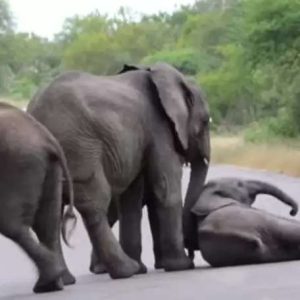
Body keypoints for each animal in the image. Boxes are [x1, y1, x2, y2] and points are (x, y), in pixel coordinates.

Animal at [0, 102, 76, 292]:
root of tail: (46, 138)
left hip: (18, 165)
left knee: (11, 224)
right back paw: (52, 283)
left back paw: (48, 281)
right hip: (46, 166)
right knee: (46, 223)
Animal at [27, 62, 211, 278]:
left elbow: (131, 197)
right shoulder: (158, 128)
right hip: (77, 147)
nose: (192, 250)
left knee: (52, 212)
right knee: (95, 202)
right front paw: (181, 266)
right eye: (206, 121)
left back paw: (67, 278)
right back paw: (124, 270)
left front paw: (145, 269)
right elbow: (165, 188)